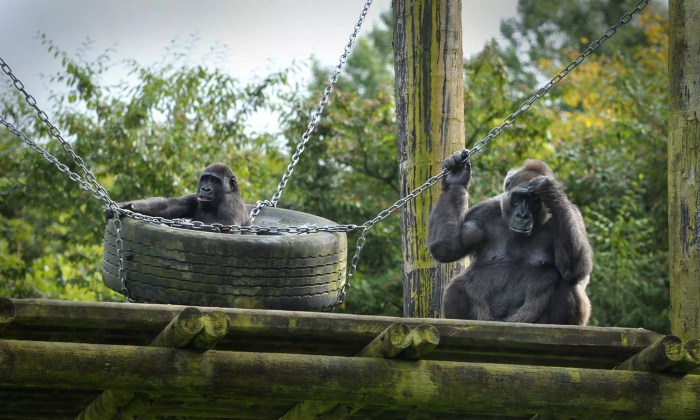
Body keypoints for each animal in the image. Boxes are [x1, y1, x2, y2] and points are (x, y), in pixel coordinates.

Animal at [117, 162, 252, 226]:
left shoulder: (231, 200)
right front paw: (126, 206)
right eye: (205, 179)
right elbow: (166, 207)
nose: (205, 189)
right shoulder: (193, 197)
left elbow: (229, 224)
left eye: (215, 181)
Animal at [426, 151, 592, 324]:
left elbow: (577, 269)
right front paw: (456, 178)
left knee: (570, 284)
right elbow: (447, 248)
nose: (522, 215)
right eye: (518, 197)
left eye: (534, 200)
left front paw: (551, 192)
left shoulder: (572, 214)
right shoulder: (481, 213)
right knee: (456, 287)